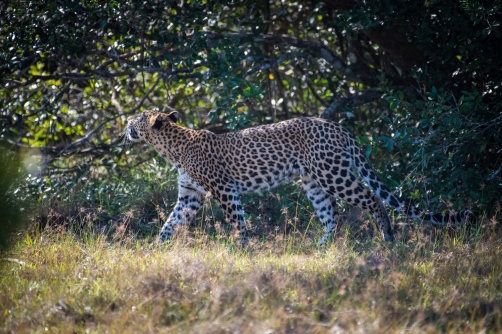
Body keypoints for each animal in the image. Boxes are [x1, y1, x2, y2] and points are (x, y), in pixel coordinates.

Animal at [126, 111, 474, 244]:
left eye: (137, 118)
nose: (125, 122)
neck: (172, 149)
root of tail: (338, 126)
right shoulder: (190, 195)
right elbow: (170, 222)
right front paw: (156, 248)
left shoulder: (224, 189)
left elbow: (237, 220)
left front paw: (242, 247)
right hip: (313, 182)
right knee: (331, 215)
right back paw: (322, 246)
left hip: (333, 173)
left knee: (371, 198)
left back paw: (387, 237)